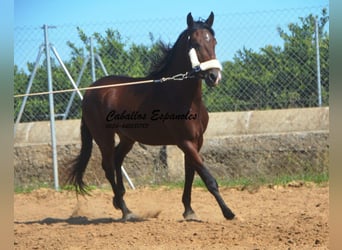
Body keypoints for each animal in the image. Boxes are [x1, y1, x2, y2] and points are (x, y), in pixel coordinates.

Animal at [69, 12, 235, 221]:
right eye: (196, 44)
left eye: (214, 42)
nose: (214, 76)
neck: (182, 97)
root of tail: (90, 91)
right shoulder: (184, 142)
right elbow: (207, 177)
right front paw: (228, 212)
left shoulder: (197, 141)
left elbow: (190, 173)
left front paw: (189, 211)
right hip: (103, 137)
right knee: (107, 165)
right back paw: (125, 210)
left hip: (127, 137)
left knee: (117, 159)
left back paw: (120, 201)